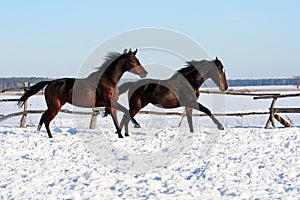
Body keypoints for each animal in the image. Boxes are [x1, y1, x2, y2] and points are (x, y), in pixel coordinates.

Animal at [17, 49, 148, 138]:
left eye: (138, 60)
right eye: (133, 61)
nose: (145, 73)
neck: (108, 81)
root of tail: (50, 83)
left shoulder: (111, 104)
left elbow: (116, 119)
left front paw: (120, 135)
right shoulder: (110, 102)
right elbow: (125, 111)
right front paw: (136, 125)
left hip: (53, 106)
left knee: (44, 117)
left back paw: (40, 134)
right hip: (55, 106)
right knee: (46, 119)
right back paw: (49, 136)